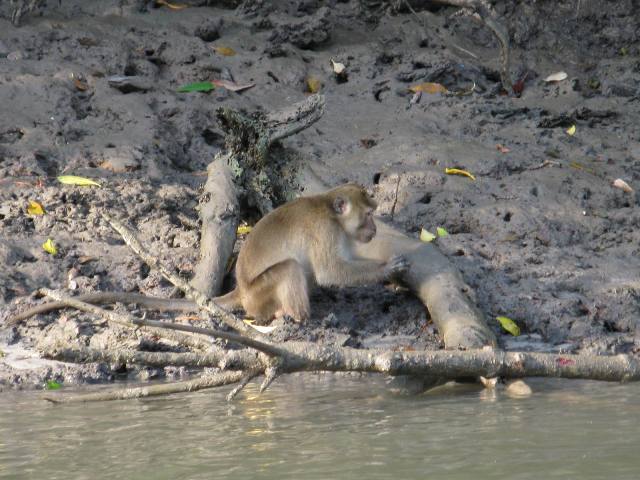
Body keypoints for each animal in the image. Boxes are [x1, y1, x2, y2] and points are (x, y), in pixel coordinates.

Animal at [215, 183, 409, 324]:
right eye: (368, 214)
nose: (375, 228)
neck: (332, 214)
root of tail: (241, 290)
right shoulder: (326, 230)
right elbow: (329, 271)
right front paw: (387, 268)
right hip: (258, 295)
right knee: (290, 267)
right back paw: (297, 318)